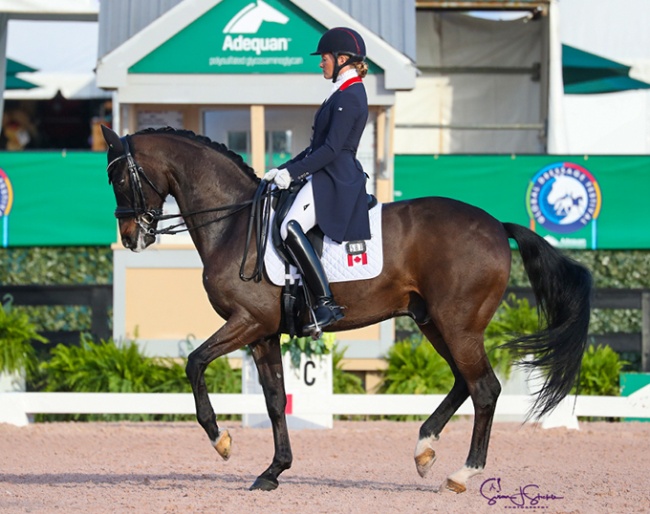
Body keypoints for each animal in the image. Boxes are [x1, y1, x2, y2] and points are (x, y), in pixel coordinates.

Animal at [98, 124, 588, 492]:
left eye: (118, 179)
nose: (131, 238)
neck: (234, 223)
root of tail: (497, 226)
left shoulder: (247, 321)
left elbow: (195, 362)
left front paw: (222, 441)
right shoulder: (263, 333)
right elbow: (275, 400)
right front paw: (273, 471)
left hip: (459, 325)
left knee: (483, 388)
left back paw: (461, 474)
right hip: (434, 322)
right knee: (463, 383)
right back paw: (424, 450)